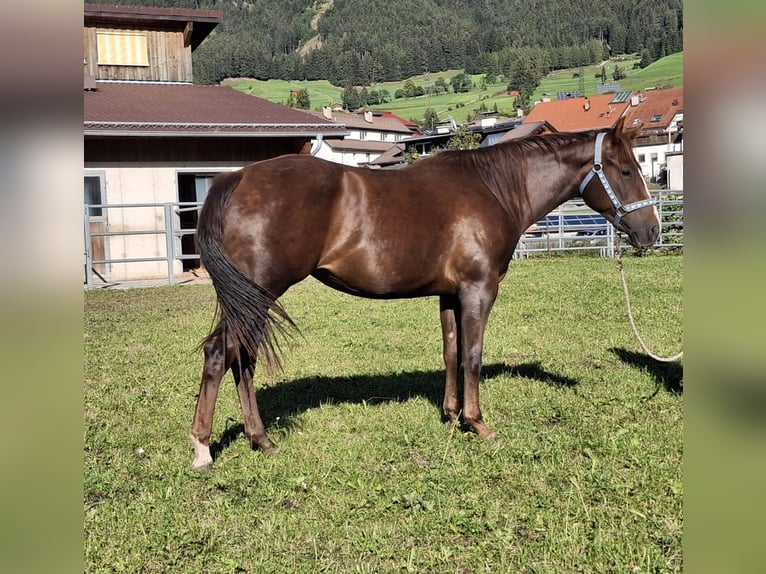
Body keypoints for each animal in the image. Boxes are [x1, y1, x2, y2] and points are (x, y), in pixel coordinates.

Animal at [189, 116, 659, 470]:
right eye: (626, 171)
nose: (651, 232)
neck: (494, 188)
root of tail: (237, 178)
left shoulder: (449, 295)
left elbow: (451, 352)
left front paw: (451, 416)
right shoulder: (478, 290)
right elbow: (473, 355)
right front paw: (477, 423)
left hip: (250, 300)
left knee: (240, 358)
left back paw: (260, 440)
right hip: (258, 294)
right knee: (221, 353)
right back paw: (203, 448)